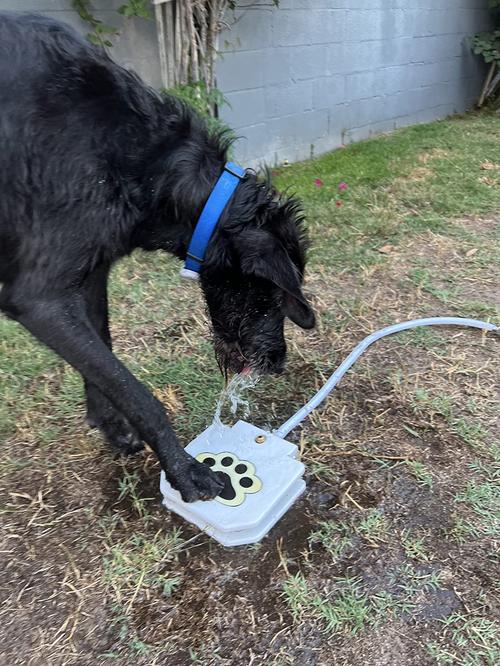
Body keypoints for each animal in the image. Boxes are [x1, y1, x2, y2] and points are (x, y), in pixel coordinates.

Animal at [0, 11, 314, 498]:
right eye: (275, 297)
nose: (278, 362)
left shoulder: (91, 275)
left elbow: (104, 359)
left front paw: (111, 427)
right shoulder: (40, 298)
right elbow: (134, 390)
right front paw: (185, 470)